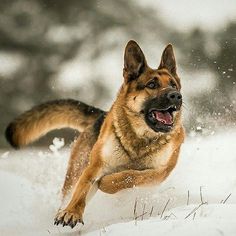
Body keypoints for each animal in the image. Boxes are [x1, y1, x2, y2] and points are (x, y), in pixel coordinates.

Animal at [5, 39, 184, 228]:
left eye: (173, 85)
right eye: (152, 85)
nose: (176, 96)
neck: (140, 138)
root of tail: (100, 115)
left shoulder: (160, 172)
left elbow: (132, 176)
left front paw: (107, 183)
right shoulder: (95, 165)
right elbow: (82, 189)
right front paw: (71, 212)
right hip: (76, 171)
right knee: (72, 191)